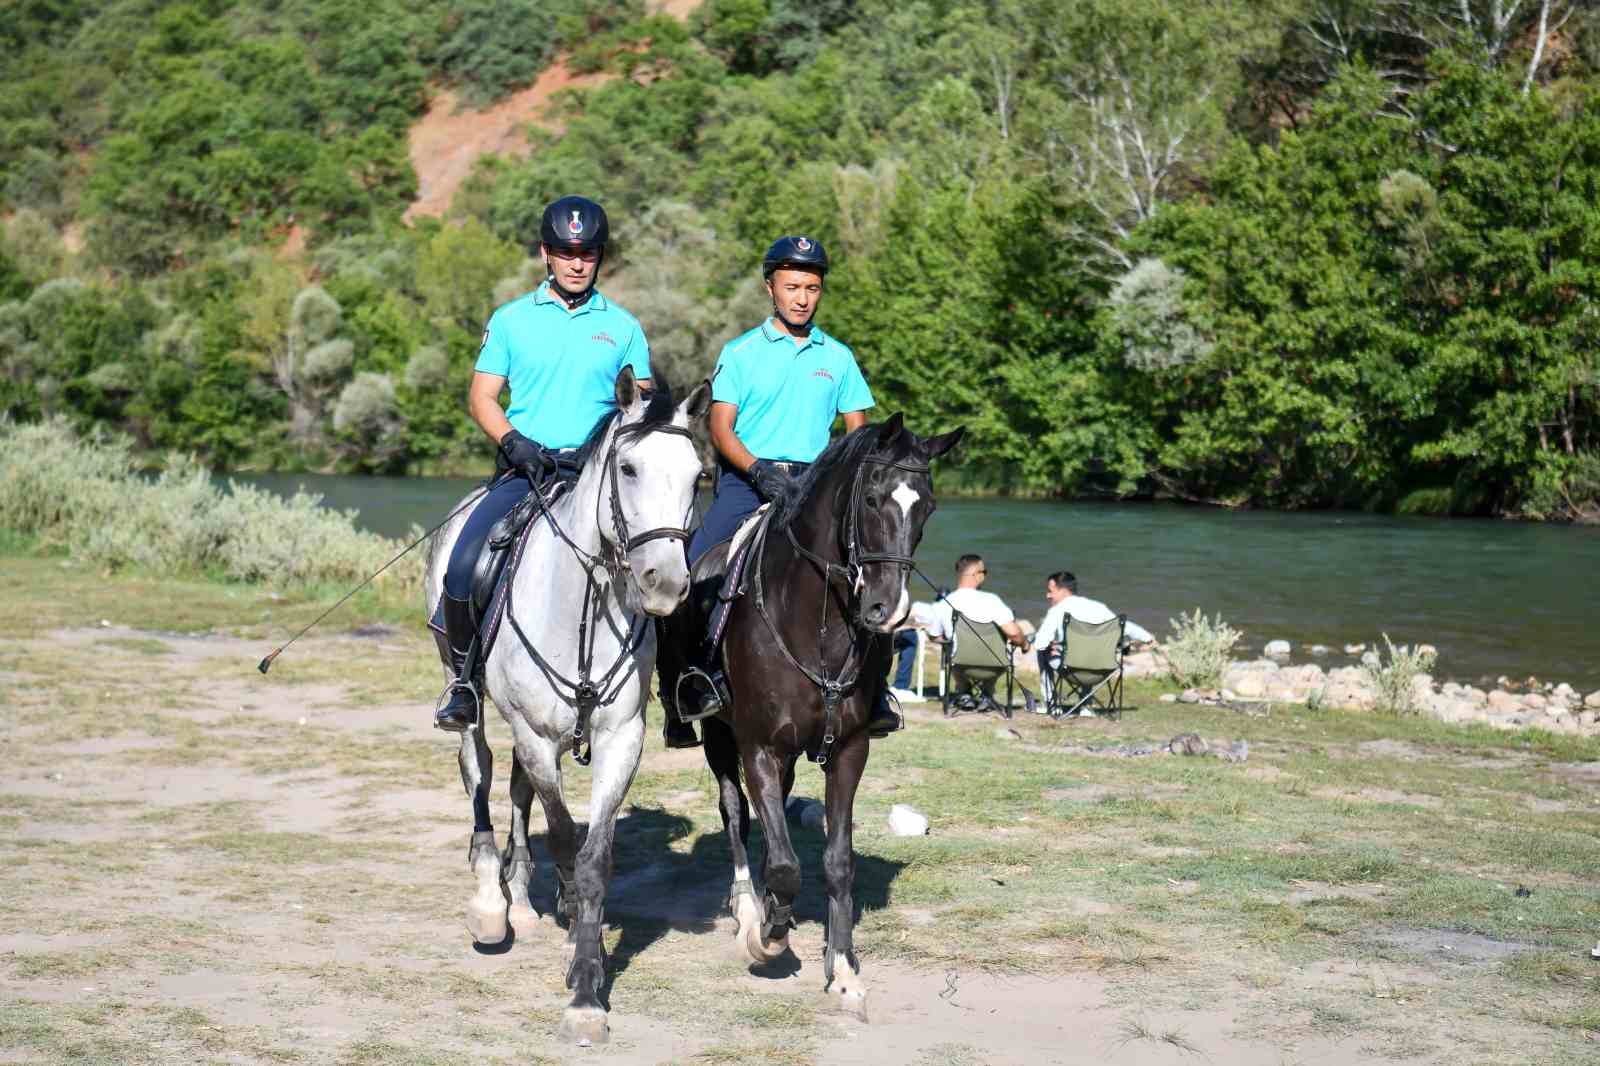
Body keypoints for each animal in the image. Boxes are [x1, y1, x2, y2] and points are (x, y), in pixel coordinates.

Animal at [425, 368, 707, 1037]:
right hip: (464, 693)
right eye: (628, 468)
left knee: (516, 790)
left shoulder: (619, 738)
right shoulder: (534, 732)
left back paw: (526, 900)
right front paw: (579, 966)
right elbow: (561, 837)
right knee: (478, 773)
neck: (582, 603)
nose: (666, 583)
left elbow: (594, 855)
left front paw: (586, 970)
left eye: (697, 476)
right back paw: (491, 904)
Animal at [662, 412, 960, 1011]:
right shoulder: (758, 747)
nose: (885, 609)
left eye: (928, 507)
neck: (814, 621)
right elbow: (781, 860)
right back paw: (748, 906)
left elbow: (836, 861)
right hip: (718, 736)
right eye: (871, 499)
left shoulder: (848, 750)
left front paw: (842, 968)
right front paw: (768, 934)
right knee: (735, 813)